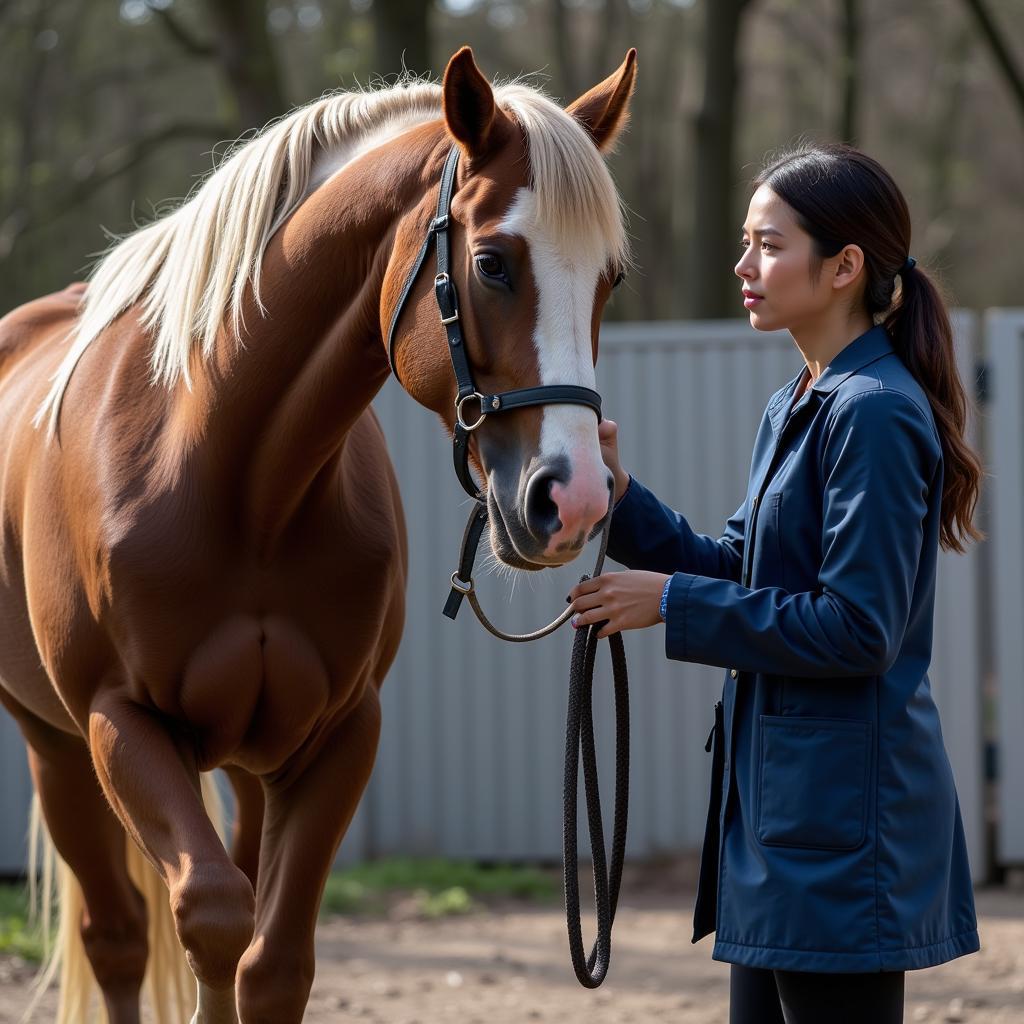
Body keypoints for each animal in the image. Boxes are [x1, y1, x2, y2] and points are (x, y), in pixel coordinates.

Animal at [0, 46, 634, 1024]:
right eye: (493, 264)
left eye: (610, 279)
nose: (574, 502)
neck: (238, 485)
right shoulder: (121, 723)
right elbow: (213, 917)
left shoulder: (337, 735)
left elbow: (272, 964)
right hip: (56, 747)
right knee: (118, 938)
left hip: (246, 763)